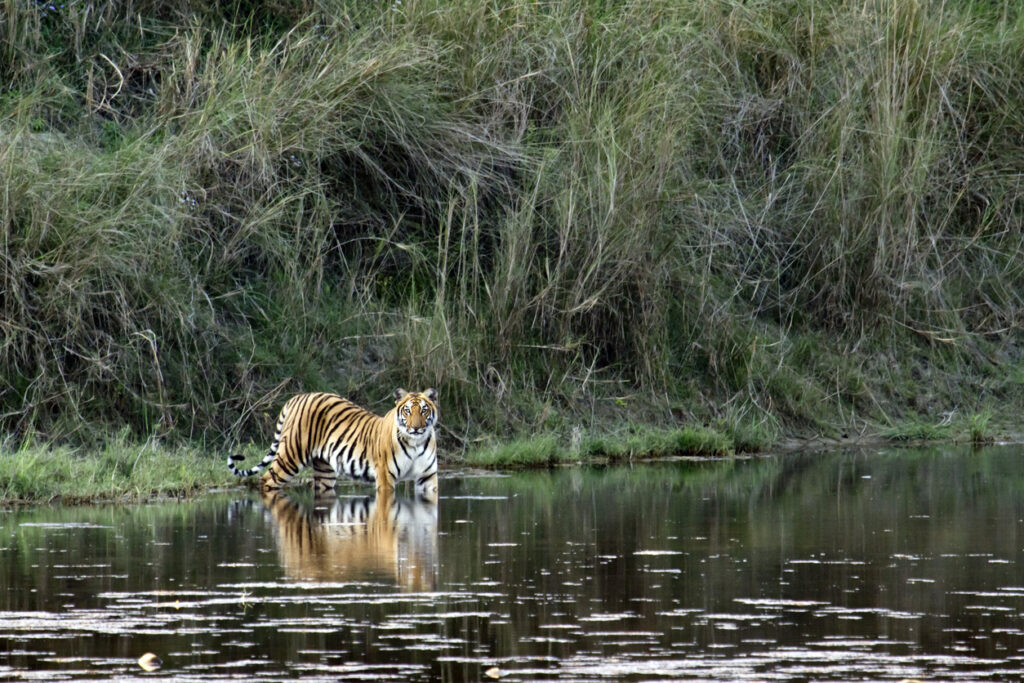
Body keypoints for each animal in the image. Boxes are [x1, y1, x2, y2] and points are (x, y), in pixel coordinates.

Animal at [227, 389, 439, 502]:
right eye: (407, 411)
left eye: (424, 410)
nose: (416, 428)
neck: (416, 443)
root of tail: (296, 398)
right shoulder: (385, 477)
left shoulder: (428, 478)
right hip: (290, 456)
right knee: (266, 480)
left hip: (325, 471)